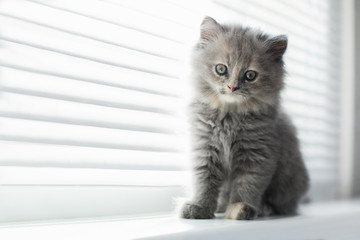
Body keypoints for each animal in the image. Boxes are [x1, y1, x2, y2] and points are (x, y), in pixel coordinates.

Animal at [180, 16, 310, 219]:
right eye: (221, 69)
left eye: (250, 75)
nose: (232, 87)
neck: (229, 116)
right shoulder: (205, 148)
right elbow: (204, 182)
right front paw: (200, 207)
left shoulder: (256, 154)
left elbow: (247, 185)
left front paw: (240, 208)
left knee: (282, 204)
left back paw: (263, 209)